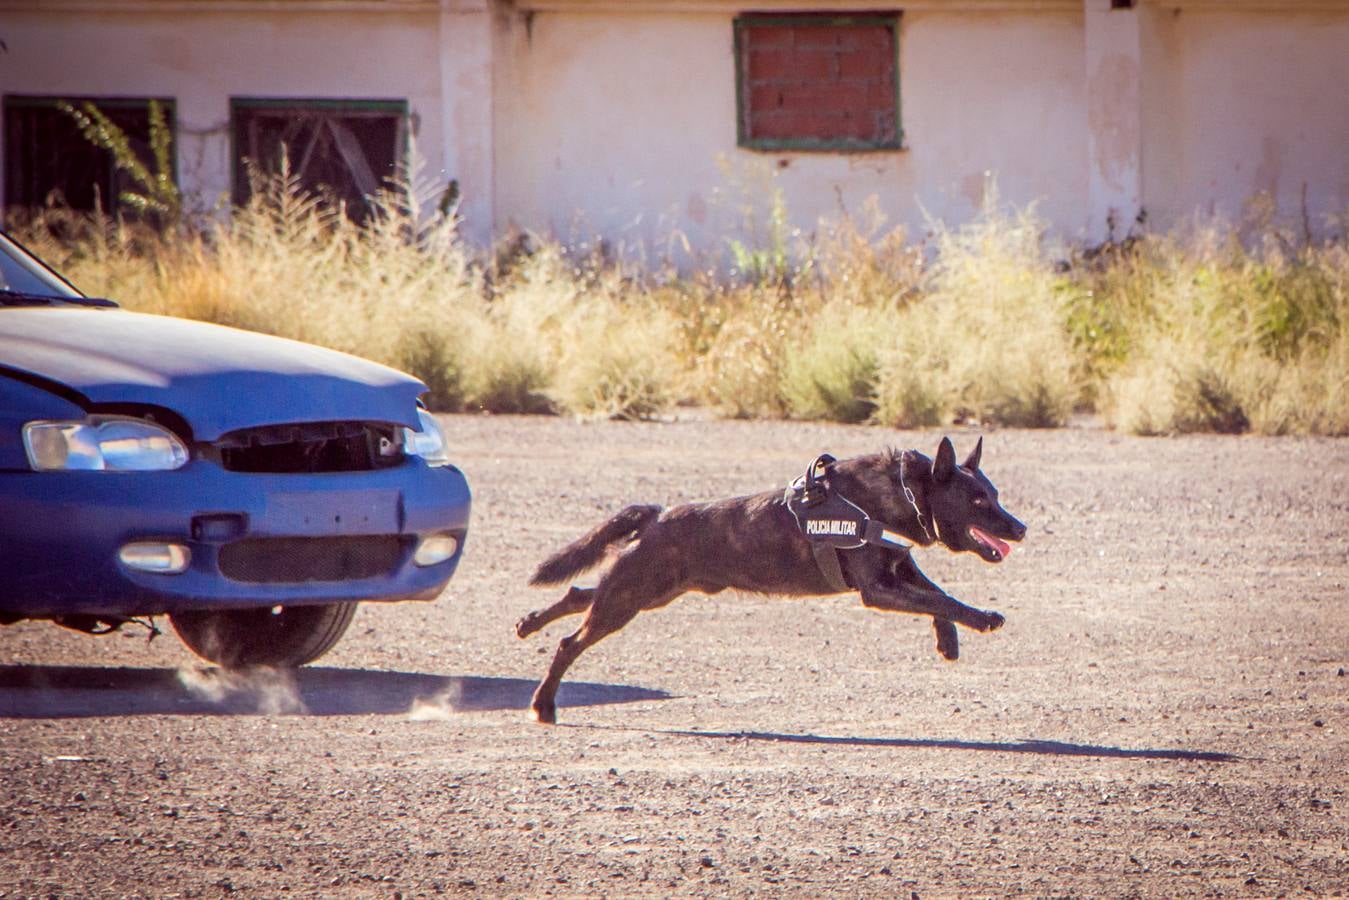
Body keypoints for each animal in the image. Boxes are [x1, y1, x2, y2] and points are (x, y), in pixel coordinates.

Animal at [512, 437, 1019, 723]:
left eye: (995, 494)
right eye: (977, 500)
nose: (1021, 528)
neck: (898, 494)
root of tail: (657, 515)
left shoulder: (899, 571)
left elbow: (937, 596)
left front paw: (948, 639)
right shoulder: (878, 590)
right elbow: (940, 600)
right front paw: (981, 618)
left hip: (648, 592)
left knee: (579, 592)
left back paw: (528, 623)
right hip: (629, 598)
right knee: (570, 642)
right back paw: (543, 704)